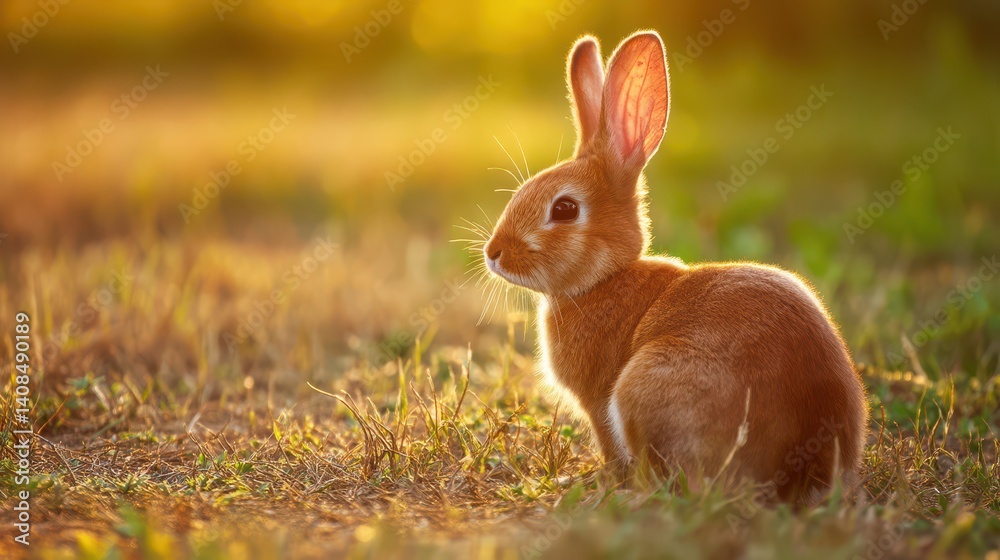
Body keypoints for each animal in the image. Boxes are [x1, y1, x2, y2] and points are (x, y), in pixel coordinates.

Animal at [482, 31, 867, 503]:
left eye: (565, 208)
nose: (494, 253)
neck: (603, 280)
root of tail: (802, 461)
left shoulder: (598, 403)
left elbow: (609, 448)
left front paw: (599, 480)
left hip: (642, 386)